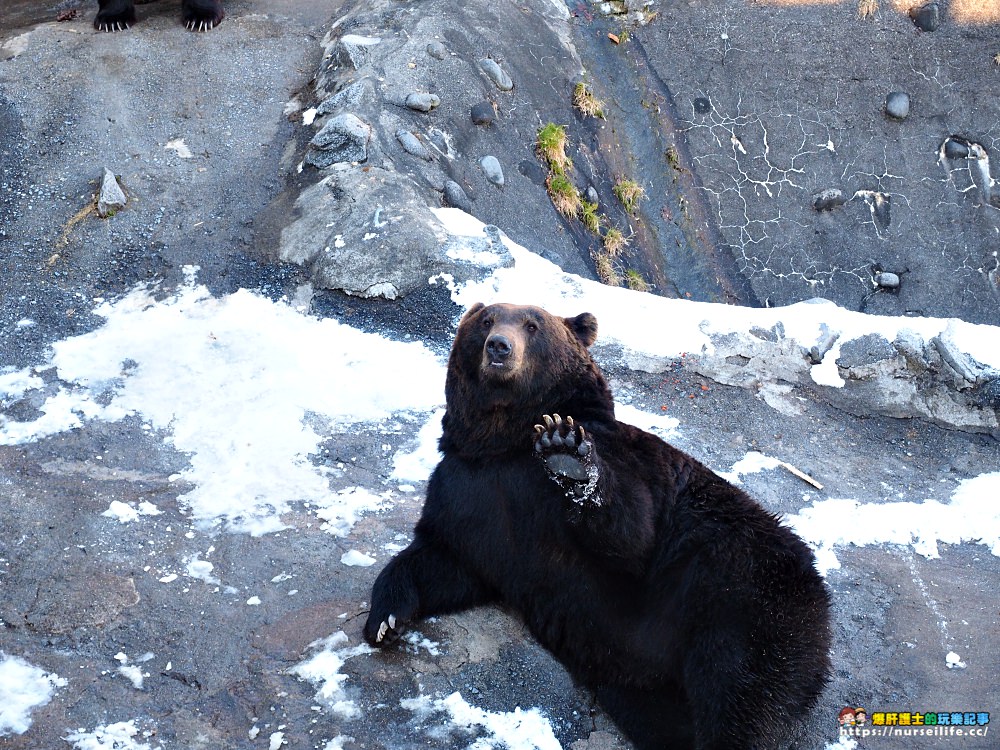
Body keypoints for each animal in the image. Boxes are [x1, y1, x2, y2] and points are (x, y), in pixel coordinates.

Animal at [364, 302, 832, 748]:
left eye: (532, 324)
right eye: (486, 320)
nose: (499, 347)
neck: (502, 439)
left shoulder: (625, 461)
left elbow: (631, 531)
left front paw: (566, 454)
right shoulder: (471, 490)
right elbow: (445, 556)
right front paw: (385, 619)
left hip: (742, 585)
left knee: (742, 683)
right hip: (644, 684)